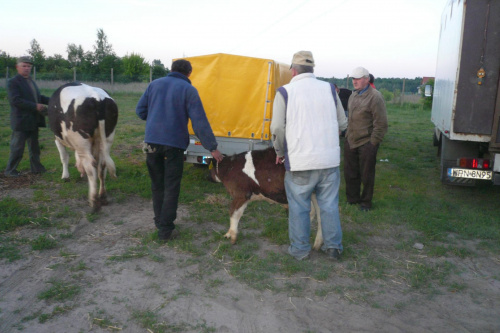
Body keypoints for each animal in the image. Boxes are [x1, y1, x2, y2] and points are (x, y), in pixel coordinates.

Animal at [48, 82, 119, 210]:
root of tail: (97, 98)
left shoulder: (57, 138)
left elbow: (64, 157)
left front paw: (65, 176)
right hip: (107, 139)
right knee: (102, 164)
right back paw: (103, 196)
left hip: (82, 142)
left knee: (90, 165)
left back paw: (93, 201)